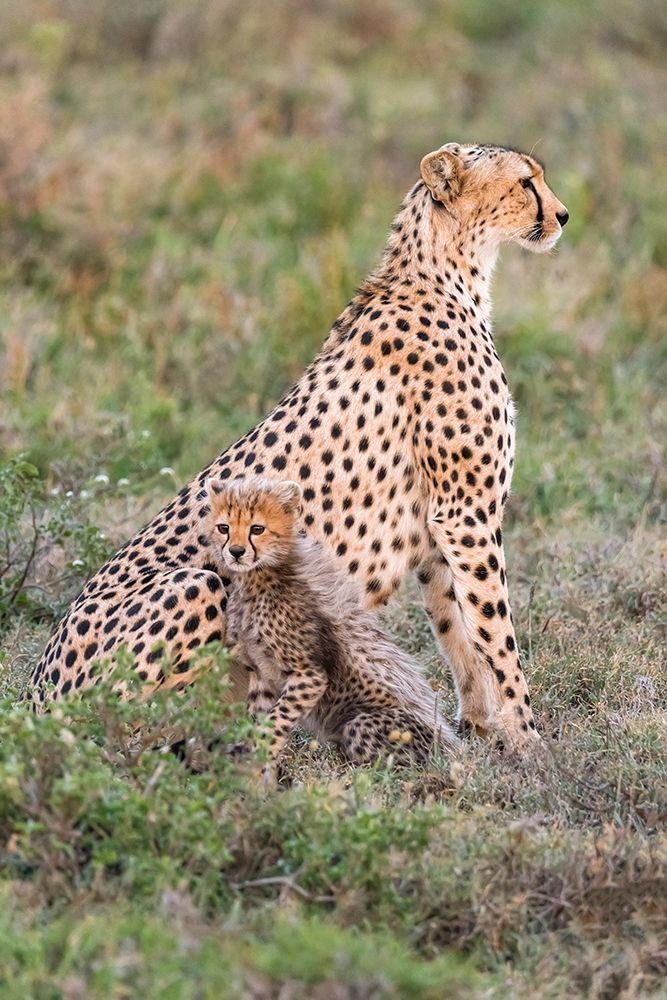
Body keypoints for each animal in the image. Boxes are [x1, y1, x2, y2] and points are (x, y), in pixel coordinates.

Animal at [205, 474, 457, 770]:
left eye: (257, 528)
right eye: (224, 527)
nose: (235, 551)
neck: (258, 577)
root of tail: (449, 746)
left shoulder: (309, 675)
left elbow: (277, 719)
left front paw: (260, 760)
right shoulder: (260, 673)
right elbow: (260, 718)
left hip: (363, 724)